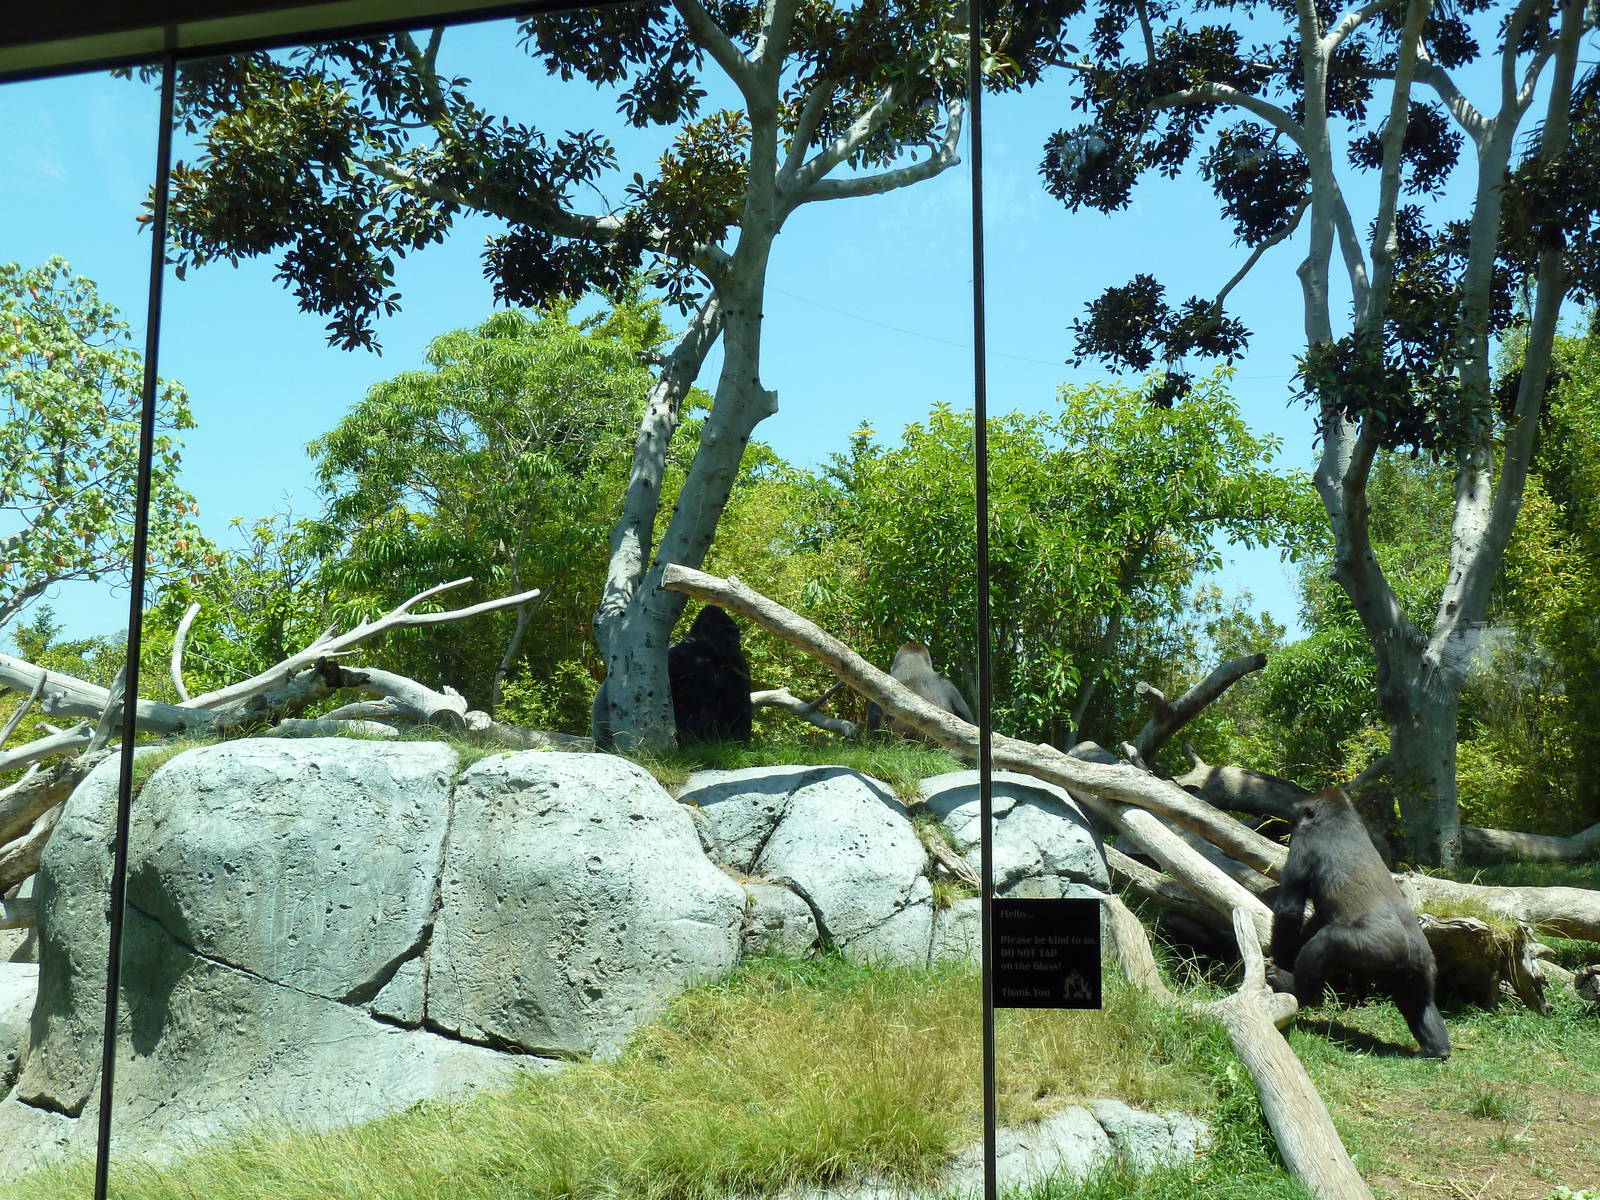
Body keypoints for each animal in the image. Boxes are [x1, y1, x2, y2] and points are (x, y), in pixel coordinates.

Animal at [1270, 786, 1451, 1059]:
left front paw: (1281, 960)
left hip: (1375, 949)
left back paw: (1294, 987)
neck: (1339, 816)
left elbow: (1289, 910)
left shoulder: (1304, 840)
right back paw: (1436, 1049)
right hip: (1421, 964)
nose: (1290, 821)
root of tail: (1413, 951)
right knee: (1419, 1002)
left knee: (1324, 943)